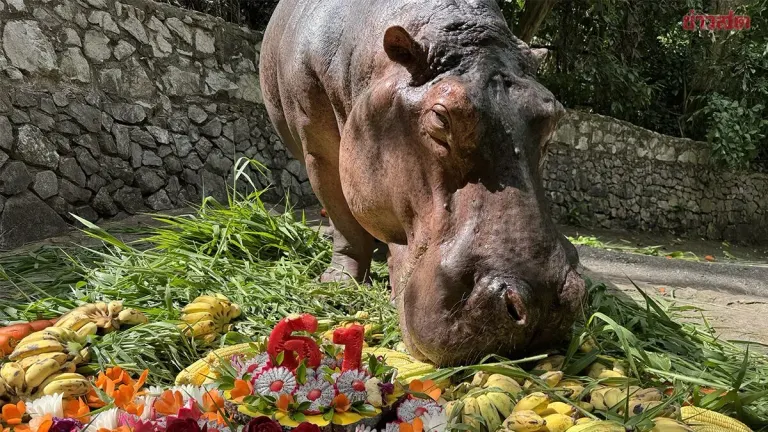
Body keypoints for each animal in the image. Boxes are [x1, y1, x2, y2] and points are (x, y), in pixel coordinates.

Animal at [260, 0, 587, 366]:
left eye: (553, 117)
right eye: (440, 117)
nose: (539, 301)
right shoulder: (319, 152)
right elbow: (345, 223)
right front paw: (339, 281)